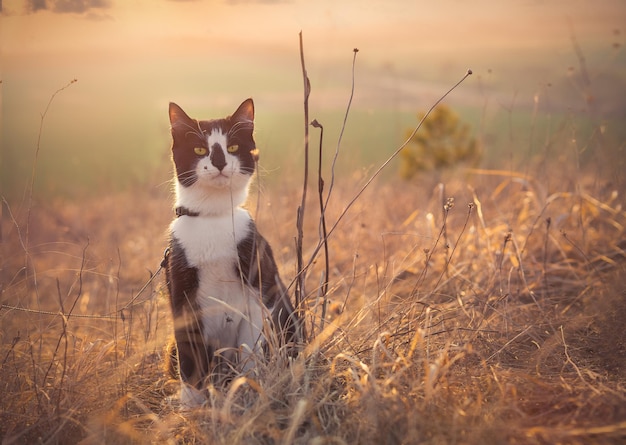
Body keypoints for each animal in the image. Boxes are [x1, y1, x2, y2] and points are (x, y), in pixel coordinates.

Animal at [163, 98, 300, 406]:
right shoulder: (181, 291)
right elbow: (189, 356)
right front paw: (190, 404)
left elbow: (250, 348)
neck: (213, 218)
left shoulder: (259, 289)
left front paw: (248, 390)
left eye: (233, 147)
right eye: (200, 149)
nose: (219, 162)